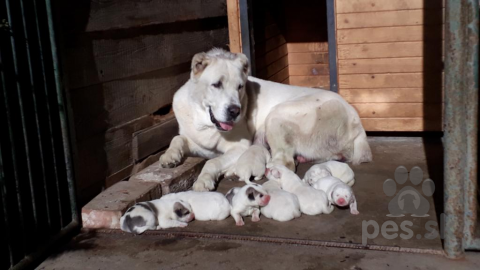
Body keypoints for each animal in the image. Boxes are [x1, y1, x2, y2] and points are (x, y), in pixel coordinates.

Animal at [159, 49, 370, 192]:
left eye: (240, 87)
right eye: (216, 84)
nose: (235, 111)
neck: (204, 121)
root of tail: (356, 121)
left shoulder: (241, 147)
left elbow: (212, 162)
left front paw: (203, 181)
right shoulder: (194, 140)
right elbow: (177, 139)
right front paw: (169, 157)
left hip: (277, 114)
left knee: (285, 162)